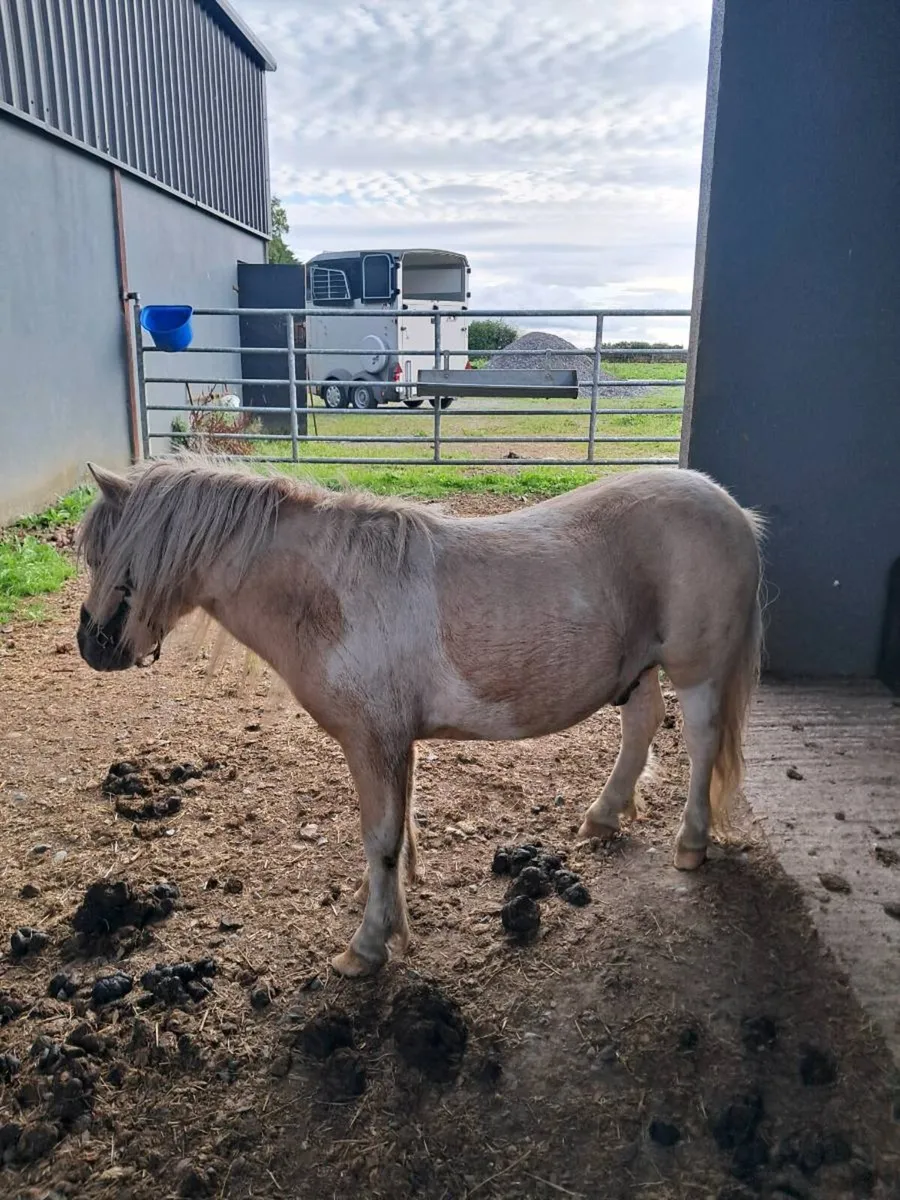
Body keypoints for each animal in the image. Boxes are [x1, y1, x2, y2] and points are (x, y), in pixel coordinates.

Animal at [76, 456, 764, 978]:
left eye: (109, 558)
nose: (92, 646)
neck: (330, 595)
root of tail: (732, 510)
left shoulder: (373, 741)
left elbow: (380, 836)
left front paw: (367, 947)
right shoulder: (394, 742)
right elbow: (397, 830)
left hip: (698, 672)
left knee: (700, 745)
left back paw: (691, 845)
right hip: (638, 670)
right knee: (641, 727)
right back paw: (602, 818)